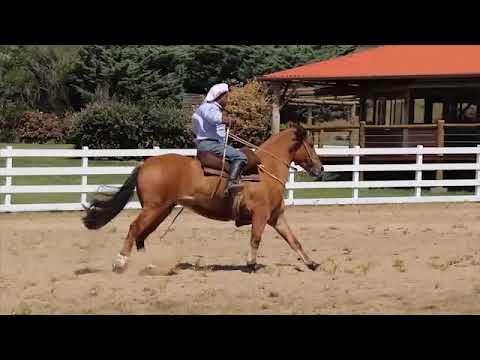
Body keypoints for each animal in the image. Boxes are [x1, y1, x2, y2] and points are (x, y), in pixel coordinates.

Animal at [82, 124, 324, 272]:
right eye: (311, 144)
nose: (320, 169)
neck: (265, 171)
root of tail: (145, 164)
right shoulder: (260, 215)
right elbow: (255, 239)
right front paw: (251, 264)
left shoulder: (276, 216)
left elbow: (294, 240)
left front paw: (312, 263)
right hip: (153, 209)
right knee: (134, 229)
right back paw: (120, 262)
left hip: (161, 211)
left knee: (142, 235)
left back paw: (149, 264)